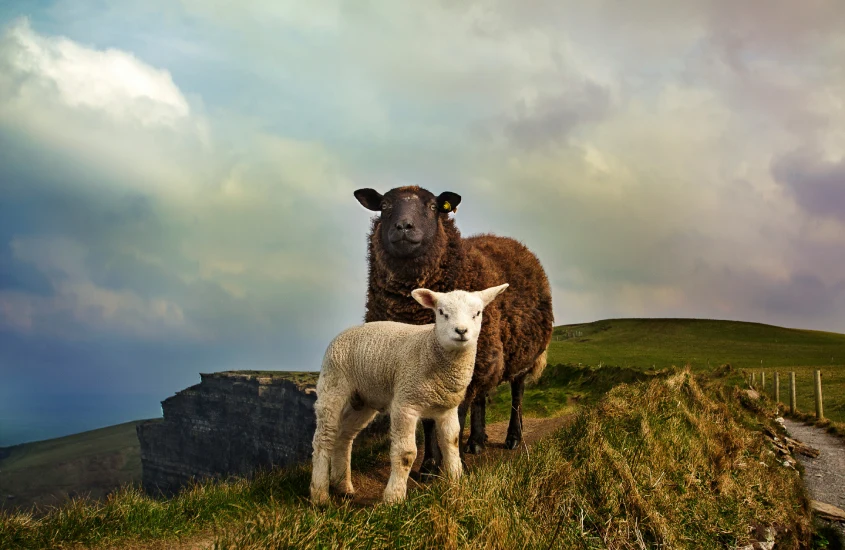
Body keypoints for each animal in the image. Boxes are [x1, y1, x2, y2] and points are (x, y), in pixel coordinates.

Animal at [310, 286, 508, 506]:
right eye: (442, 312)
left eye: (477, 313)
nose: (461, 331)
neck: (430, 348)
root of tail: (345, 331)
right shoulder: (406, 403)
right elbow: (406, 454)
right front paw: (394, 498)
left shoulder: (447, 408)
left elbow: (452, 442)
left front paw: (456, 483)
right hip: (333, 384)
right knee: (324, 437)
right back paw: (320, 495)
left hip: (362, 400)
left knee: (344, 436)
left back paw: (343, 486)